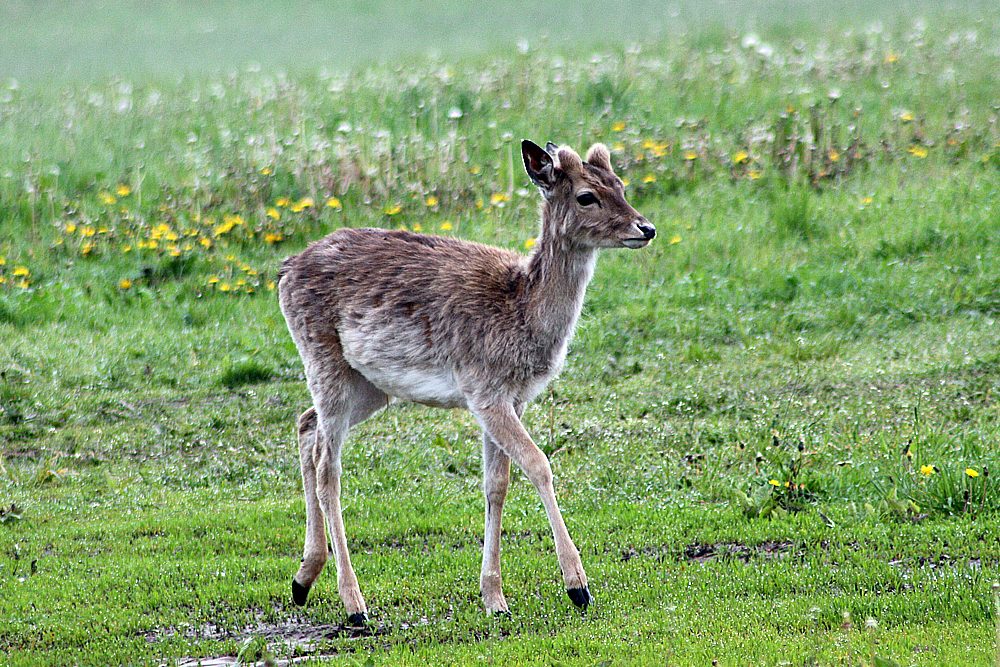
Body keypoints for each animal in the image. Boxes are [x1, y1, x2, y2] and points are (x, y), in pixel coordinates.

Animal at [280, 138, 656, 624]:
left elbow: (497, 484)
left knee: (306, 425)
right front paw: (578, 586)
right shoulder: (484, 390)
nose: (646, 227)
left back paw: (303, 580)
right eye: (586, 196)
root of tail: (284, 271)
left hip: (368, 386)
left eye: (620, 184)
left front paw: (494, 598)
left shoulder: (513, 397)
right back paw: (354, 604)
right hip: (322, 357)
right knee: (329, 467)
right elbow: (539, 464)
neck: (521, 312)